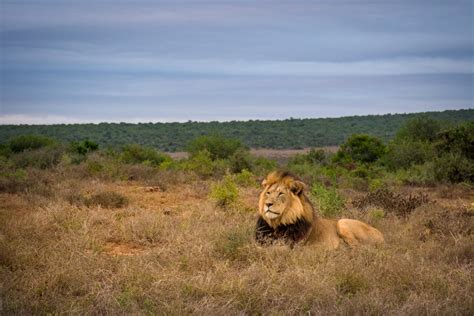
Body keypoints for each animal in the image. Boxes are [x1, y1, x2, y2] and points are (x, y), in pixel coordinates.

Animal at [256, 172, 386, 248]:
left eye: (281, 194)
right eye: (268, 193)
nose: (268, 204)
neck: (277, 224)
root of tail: (382, 235)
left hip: (343, 222)